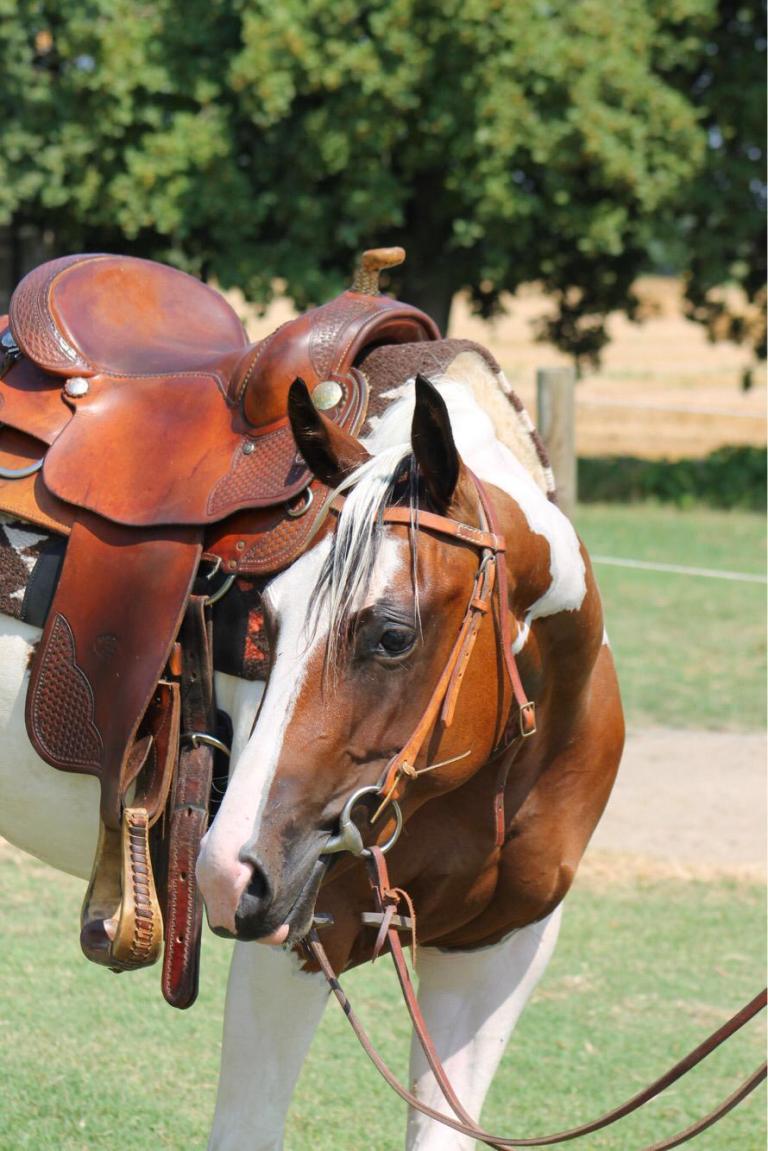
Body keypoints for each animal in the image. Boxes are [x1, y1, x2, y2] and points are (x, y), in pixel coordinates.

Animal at [0, 340, 623, 1149]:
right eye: (266, 618)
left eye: (391, 635)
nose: (230, 870)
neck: (497, 776)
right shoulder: (294, 948)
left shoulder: (498, 953)